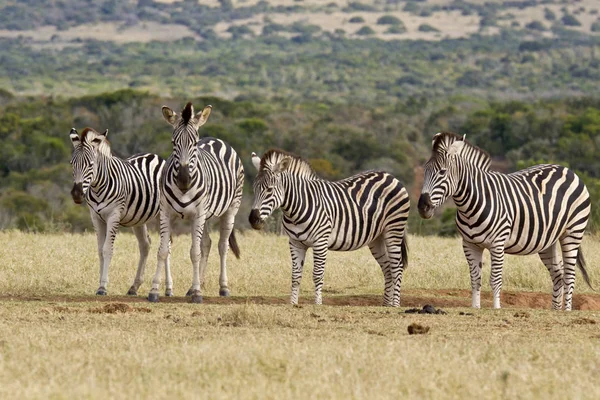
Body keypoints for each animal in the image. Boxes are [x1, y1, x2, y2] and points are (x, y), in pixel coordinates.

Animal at [69, 128, 170, 296]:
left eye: (90, 164)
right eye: (72, 164)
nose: (76, 194)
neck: (98, 186)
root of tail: (156, 156)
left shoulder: (113, 216)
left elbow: (107, 249)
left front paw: (103, 287)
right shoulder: (96, 217)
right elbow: (99, 251)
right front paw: (99, 283)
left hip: (162, 213)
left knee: (167, 246)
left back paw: (169, 288)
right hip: (139, 218)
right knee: (145, 245)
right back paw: (134, 286)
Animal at [148, 102, 244, 304]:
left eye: (194, 143)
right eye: (173, 143)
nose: (184, 180)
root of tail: (217, 139)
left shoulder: (198, 214)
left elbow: (194, 253)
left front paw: (198, 294)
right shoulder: (166, 213)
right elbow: (163, 250)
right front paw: (154, 290)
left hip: (230, 209)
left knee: (222, 246)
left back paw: (223, 287)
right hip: (205, 216)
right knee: (207, 243)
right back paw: (193, 287)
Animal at [247, 149, 408, 306]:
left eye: (270, 189)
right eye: (254, 189)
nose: (253, 219)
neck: (297, 208)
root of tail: (390, 175)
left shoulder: (320, 241)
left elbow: (317, 274)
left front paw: (318, 304)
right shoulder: (295, 243)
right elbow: (296, 275)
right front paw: (293, 304)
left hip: (393, 230)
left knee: (397, 267)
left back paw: (395, 305)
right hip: (377, 238)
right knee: (387, 269)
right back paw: (386, 304)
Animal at [418, 133, 592, 310]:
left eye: (442, 172)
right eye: (425, 170)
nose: (423, 206)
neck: (472, 203)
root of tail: (568, 170)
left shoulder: (497, 243)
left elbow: (495, 280)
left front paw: (496, 308)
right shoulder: (469, 244)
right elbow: (475, 279)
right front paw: (475, 307)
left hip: (573, 232)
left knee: (569, 276)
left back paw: (567, 310)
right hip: (549, 240)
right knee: (558, 276)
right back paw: (555, 310)